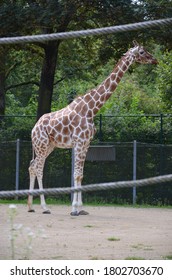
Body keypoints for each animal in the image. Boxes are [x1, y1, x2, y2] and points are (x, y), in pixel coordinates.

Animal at [27, 41, 157, 214]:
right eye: (142, 52)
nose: (154, 60)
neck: (91, 109)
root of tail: (33, 129)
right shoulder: (79, 142)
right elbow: (76, 174)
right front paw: (74, 209)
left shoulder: (86, 143)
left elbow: (81, 175)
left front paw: (81, 208)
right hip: (41, 145)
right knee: (39, 168)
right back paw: (44, 207)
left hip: (49, 146)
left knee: (32, 166)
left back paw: (30, 206)